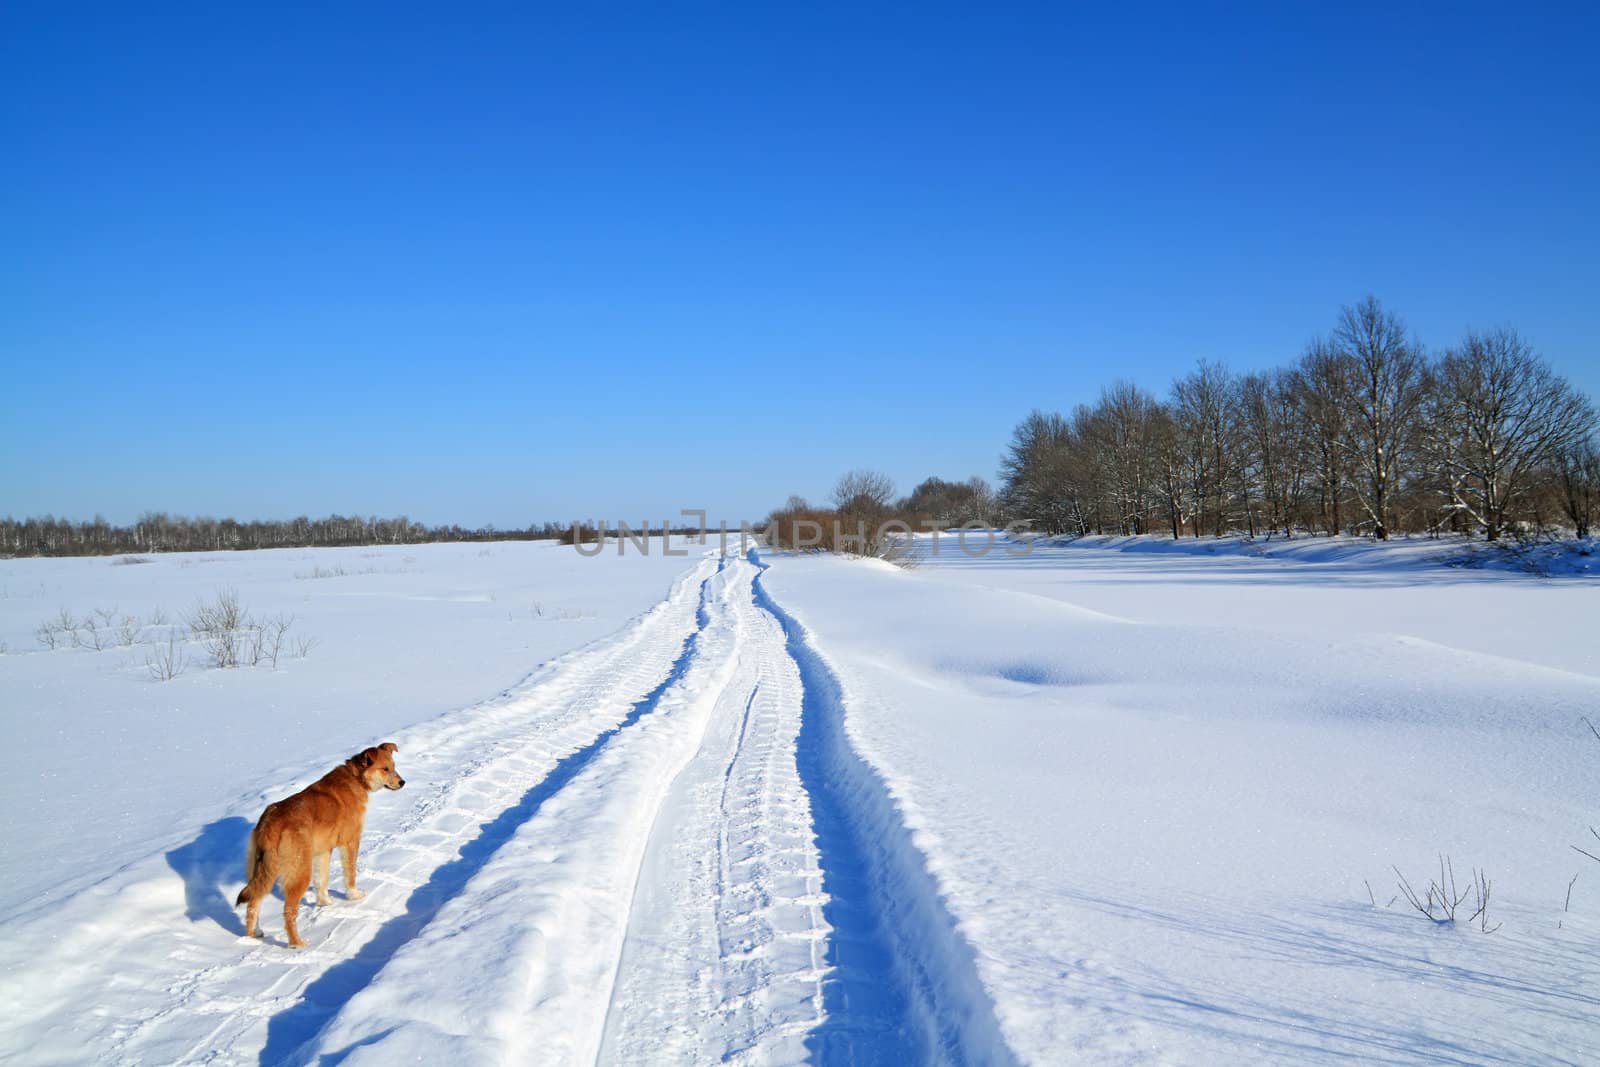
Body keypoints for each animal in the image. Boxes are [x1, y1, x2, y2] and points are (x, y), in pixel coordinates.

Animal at [233, 748, 406, 947]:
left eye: (393, 766)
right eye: (385, 769)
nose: (402, 782)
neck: (355, 778)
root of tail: (271, 823)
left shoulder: (323, 851)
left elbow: (321, 880)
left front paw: (325, 903)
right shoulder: (350, 842)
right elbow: (350, 874)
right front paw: (353, 895)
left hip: (262, 873)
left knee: (253, 904)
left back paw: (253, 936)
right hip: (299, 872)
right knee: (288, 911)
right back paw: (297, 944)